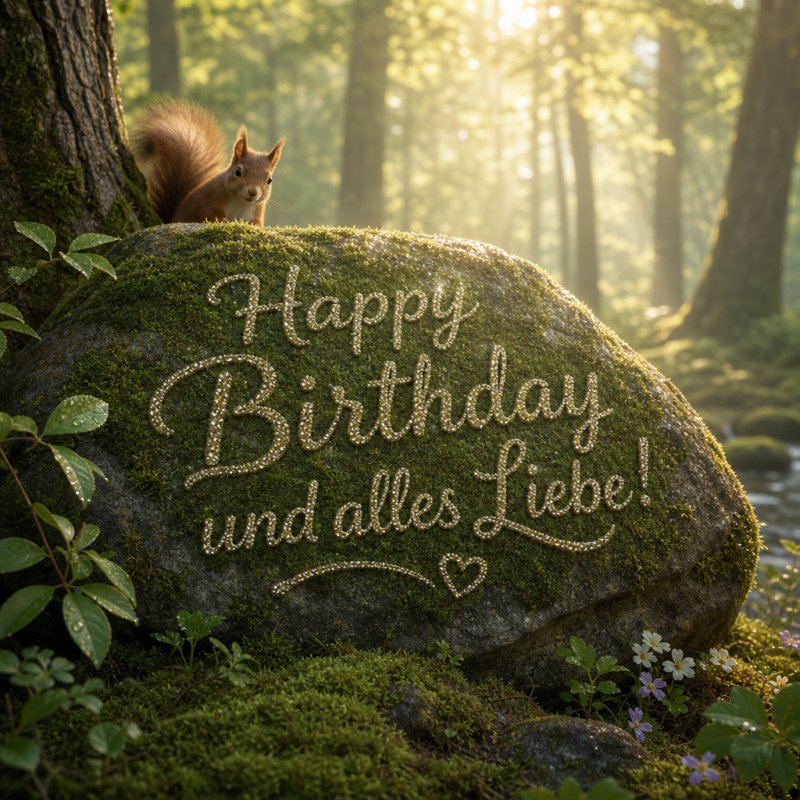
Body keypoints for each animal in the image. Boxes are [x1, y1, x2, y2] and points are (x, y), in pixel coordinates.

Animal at [131, 100, 284, 225]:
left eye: (269, 180)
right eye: (238, 171)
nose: (253, 192)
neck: (240, 202)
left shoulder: (255, 214)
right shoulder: (209, 199)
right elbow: (209, 214)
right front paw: (223, 222)